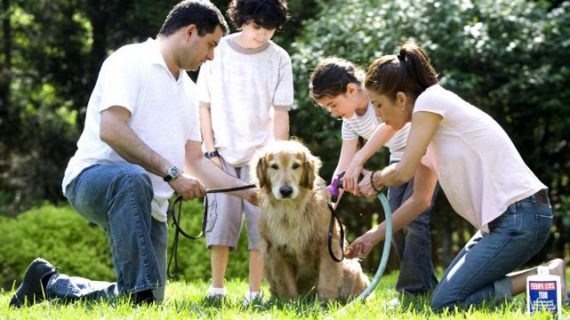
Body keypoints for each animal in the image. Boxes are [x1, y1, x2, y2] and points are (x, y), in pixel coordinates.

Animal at [250, 140, 368, 300]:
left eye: (295, 165)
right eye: (274, 166)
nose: (286, 191)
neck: (291, 209)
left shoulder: (328, 244)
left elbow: (327, 277)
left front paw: (325, 302)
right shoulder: (275, 250)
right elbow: (286, 284)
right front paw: (291, 302)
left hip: (351, 268)